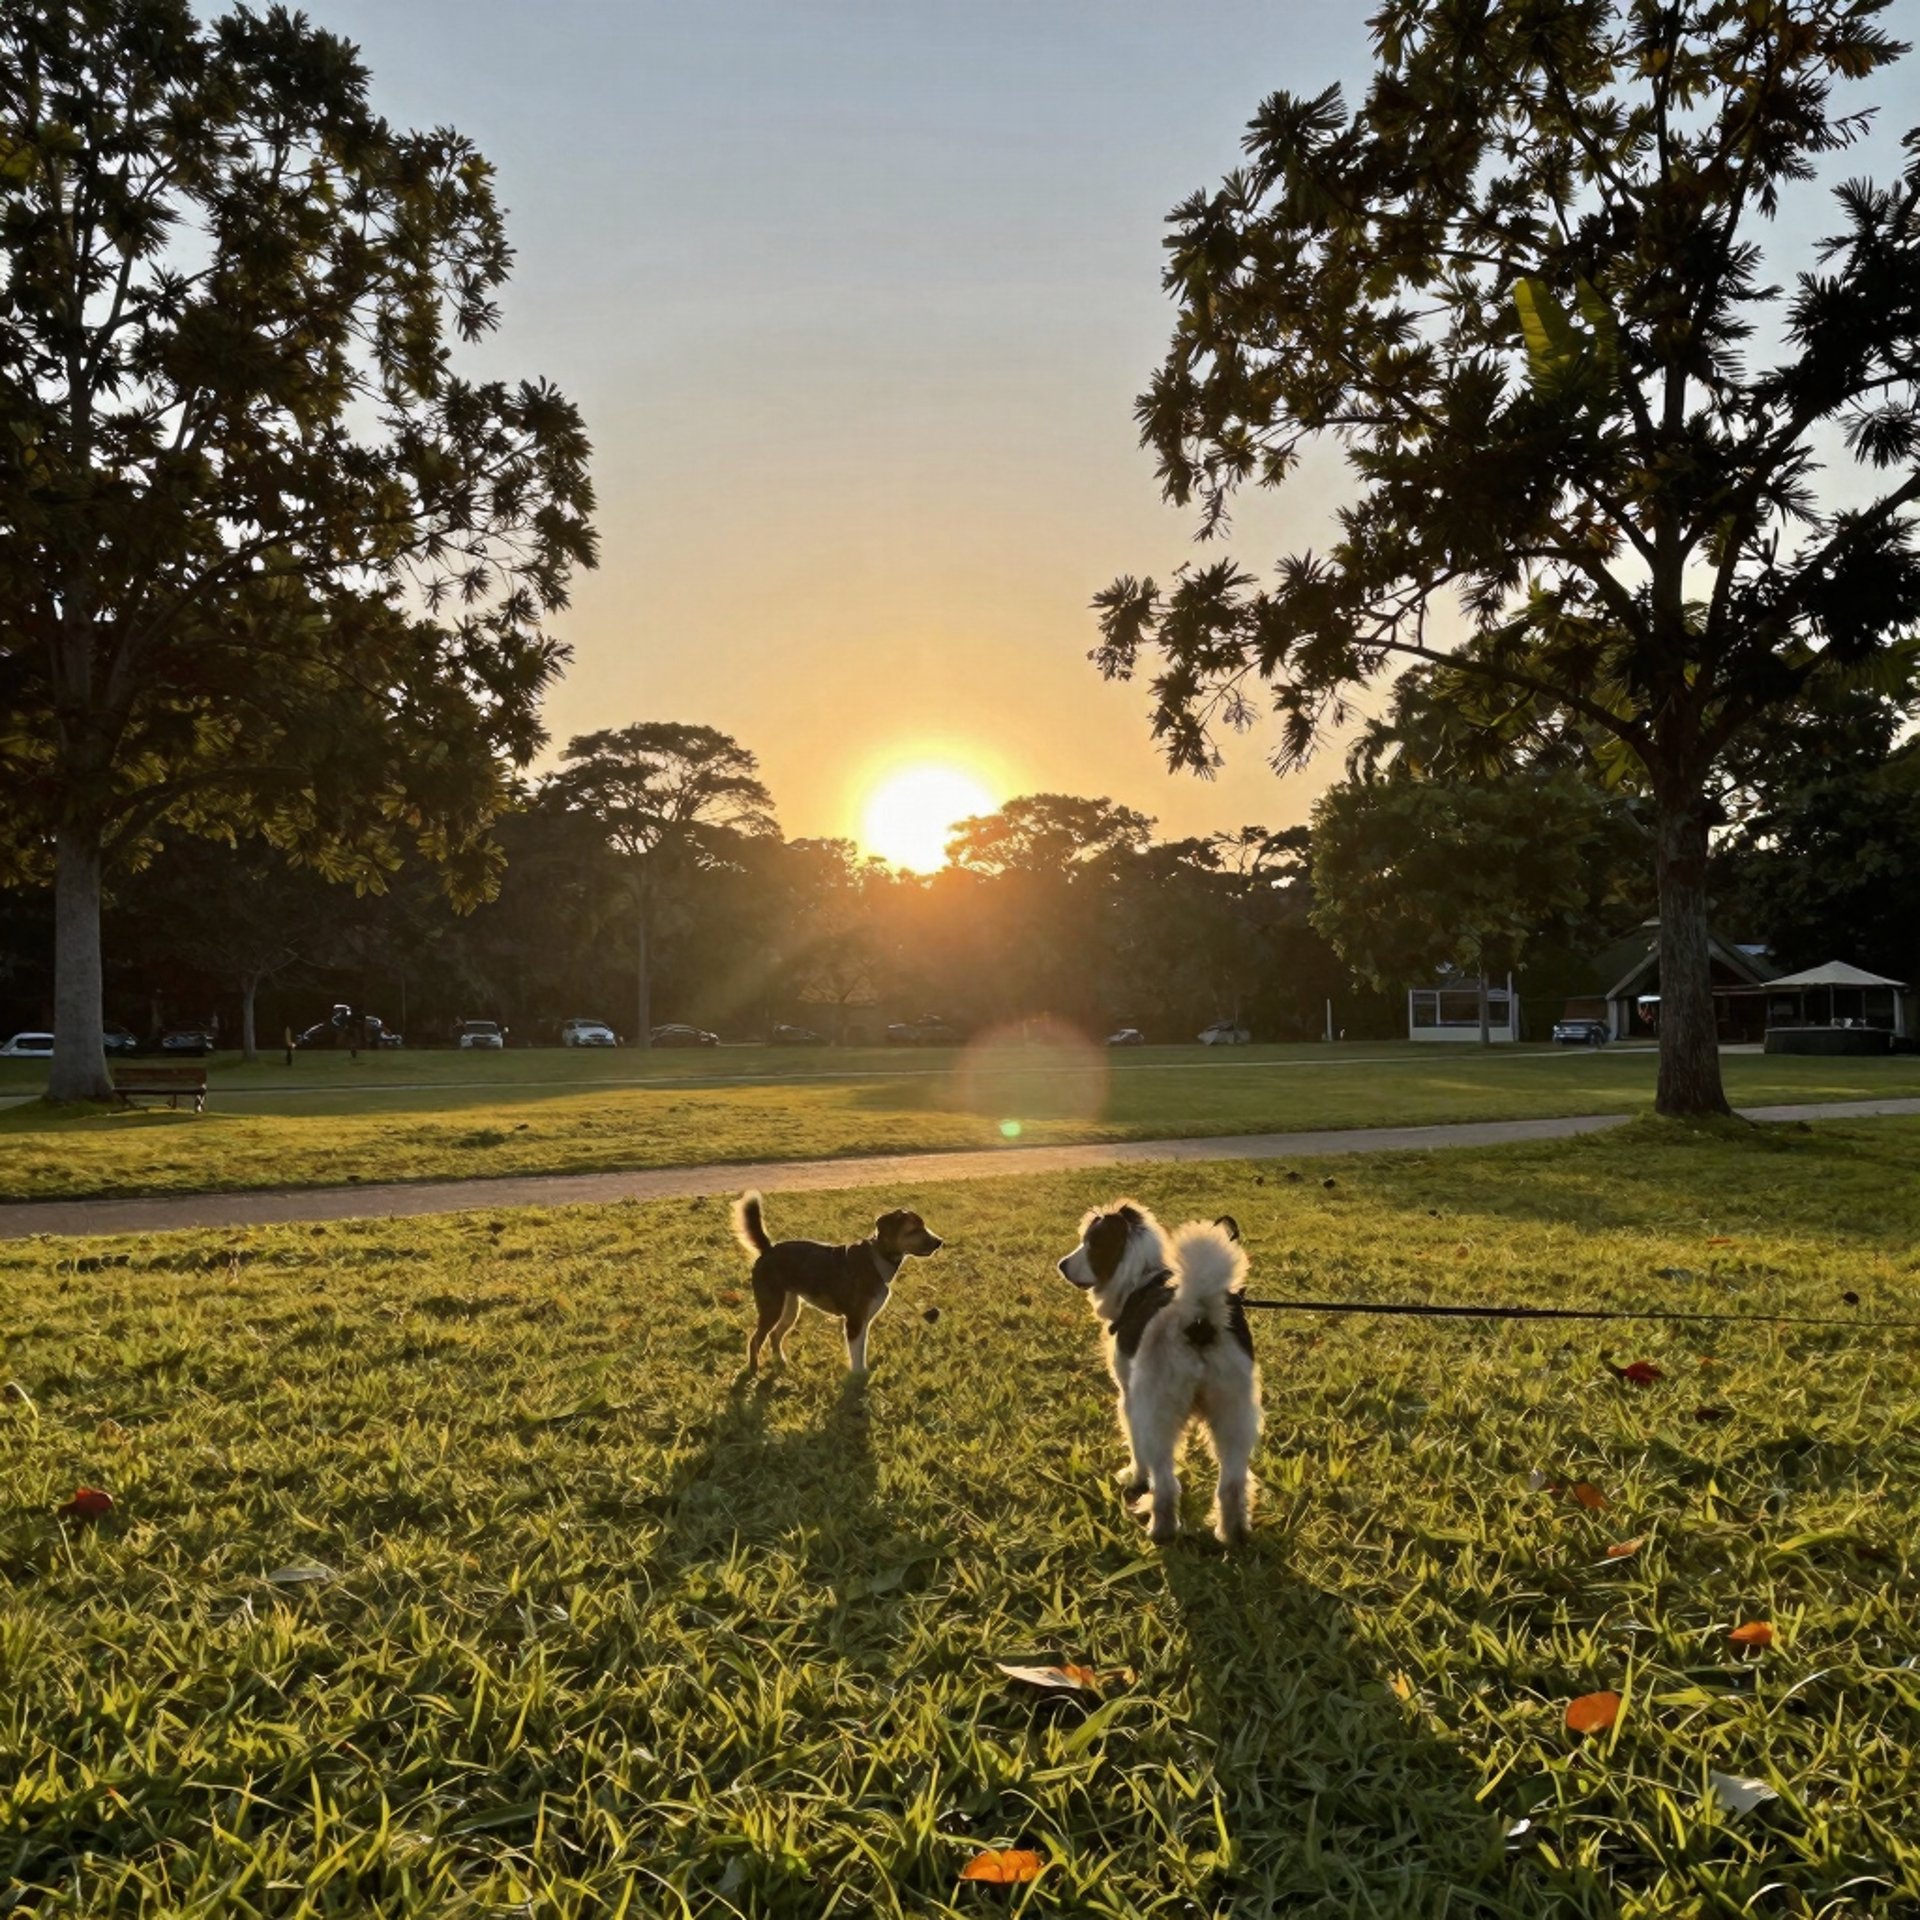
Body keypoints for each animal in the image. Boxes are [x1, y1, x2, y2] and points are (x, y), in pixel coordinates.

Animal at [733, 1190, 944, 1374]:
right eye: (913, 1230)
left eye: (923, 1226)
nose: (939, 1241)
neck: (877, 1257)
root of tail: (768, 1249)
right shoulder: (855, 1321)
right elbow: (856, 1355)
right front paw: (858, 1379)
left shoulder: (863, 1322)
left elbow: (861, 1351)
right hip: (772, 1307)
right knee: (755, 1340)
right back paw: (753, 1370)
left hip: (789, 1308)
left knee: (775, 1335)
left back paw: (781, 1362)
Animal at [1057, 1200, 1261, 1545]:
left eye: (1090, 1244)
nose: (1061, 1265)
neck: (1142, 1278)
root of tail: (1199, 1318)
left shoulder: (1130, 1400)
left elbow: (1135, 1446)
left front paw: (1133, 1477)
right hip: (1233, 1412)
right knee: (1232, 1484)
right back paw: (1232, 1533)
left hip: (1158, 1413)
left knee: (1166, 1484)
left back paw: (1161, 1529)